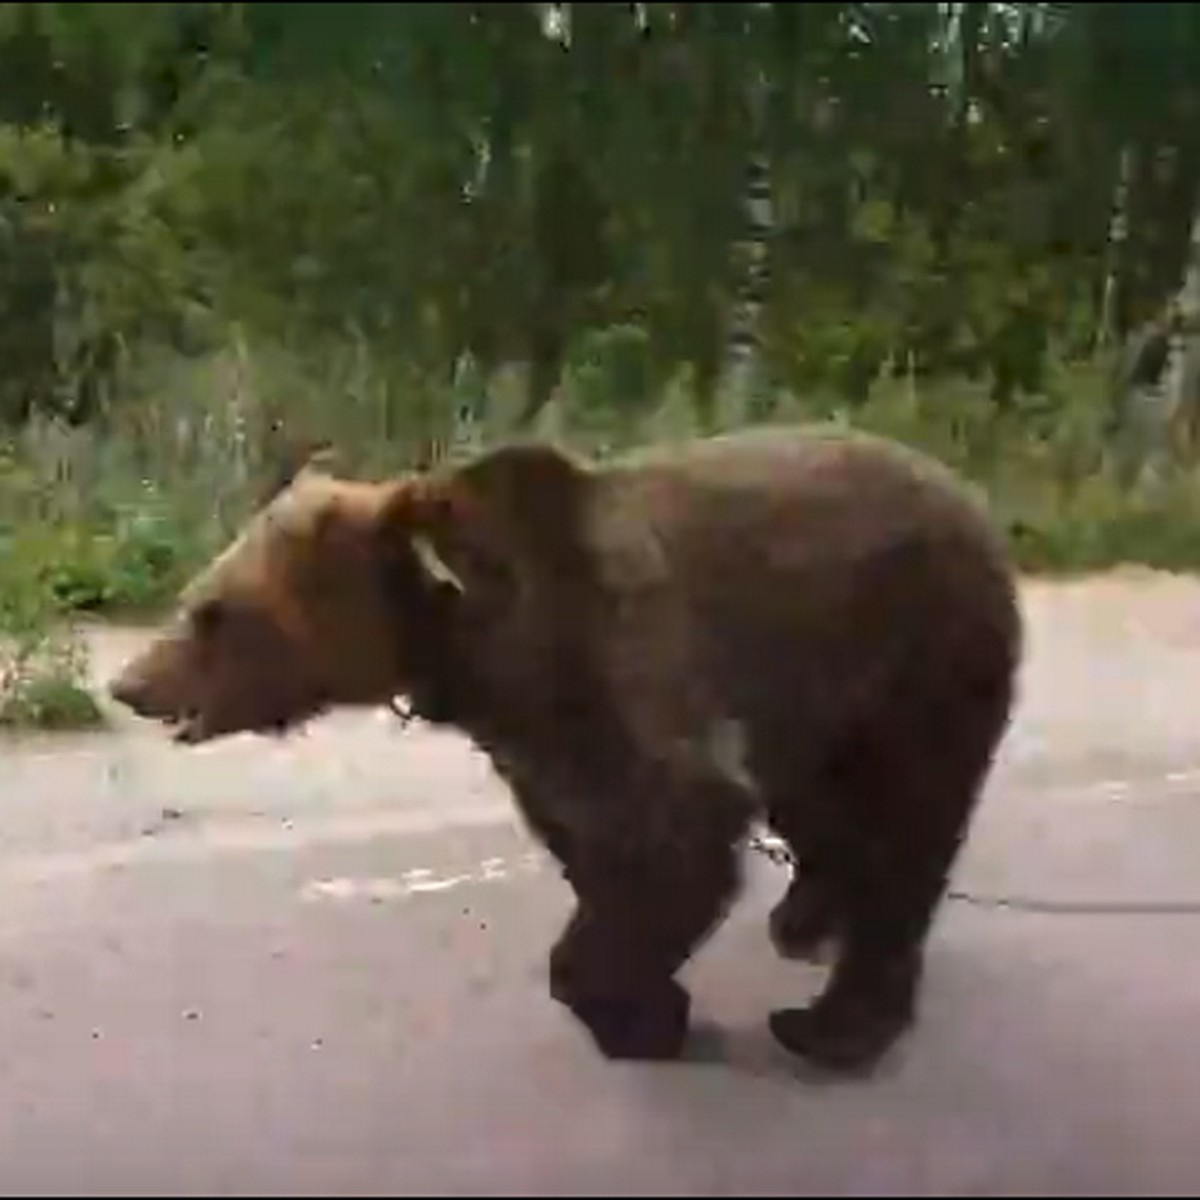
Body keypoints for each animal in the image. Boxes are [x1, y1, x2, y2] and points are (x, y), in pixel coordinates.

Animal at [110, 427, 1022, 1075]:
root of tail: (971, 497)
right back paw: (804, 923)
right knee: (824, 809)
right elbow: (591, 846)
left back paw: (829, 1026)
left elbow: (675, 830)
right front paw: (645, 1000)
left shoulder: (620, 666)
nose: (128, 683)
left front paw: (642, 1014)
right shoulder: (534, 737)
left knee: (911, 824)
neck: (470, 649)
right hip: (823, 695)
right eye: (196, 595)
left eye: (213, 612)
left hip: (923, 650)